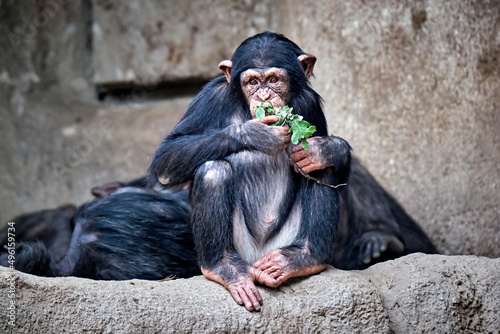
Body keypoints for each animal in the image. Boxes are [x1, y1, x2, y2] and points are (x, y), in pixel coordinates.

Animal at [148, 31, 352, 310]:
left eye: (274, 80)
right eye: (253, 81)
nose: (264, 96)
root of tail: (258, 260)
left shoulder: (309, 102)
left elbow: (322, 159)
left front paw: (325, 150)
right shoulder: (211, 97)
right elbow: (166, 158)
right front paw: (257, 133)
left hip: (281, 244)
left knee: (322, 172)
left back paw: (305, 258)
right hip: (242, 250)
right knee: (213, 170)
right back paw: (223, 267)